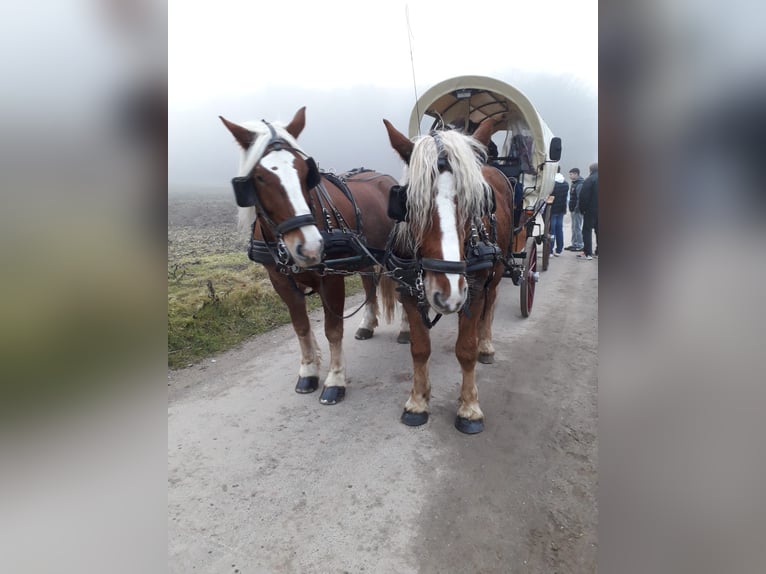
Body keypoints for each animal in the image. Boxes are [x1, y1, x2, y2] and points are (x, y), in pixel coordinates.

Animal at [219, 107, 400, 404]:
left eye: (306, 172)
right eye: (260, 177)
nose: (311, 247)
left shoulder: (331, 279)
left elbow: (333, 329)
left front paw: (335, 380)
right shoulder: (280, 282)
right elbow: (301, 327)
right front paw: (308, 372)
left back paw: (406, 331)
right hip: (364, 258)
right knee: (368, 286)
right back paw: (367, 324)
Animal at [380, 118, 512, 436]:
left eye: (475, 202)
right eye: (410, 203)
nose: (449, 294)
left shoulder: (472, 292)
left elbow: (465, 350)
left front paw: (470, 408)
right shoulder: (409, 293)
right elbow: (419, 349)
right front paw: (418, 400)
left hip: (495, 275)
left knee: (489, 307)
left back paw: (486, 345)